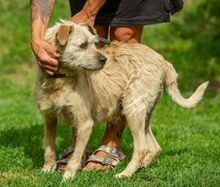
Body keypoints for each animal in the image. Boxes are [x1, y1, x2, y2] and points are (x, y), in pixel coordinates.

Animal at [34, 20, 208, 181]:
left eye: (94, 43)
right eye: (83, 45)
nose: (104, 60)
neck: (60, 79)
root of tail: (162, 60)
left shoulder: (85, 123)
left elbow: (76, 156)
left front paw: (68, 176)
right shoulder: (49, 118)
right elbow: (49, 147)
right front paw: (46, 170)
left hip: (132, 109)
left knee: (142, 148)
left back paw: (126, 173)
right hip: (144, 115)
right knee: (155, 147)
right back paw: (142, 166)